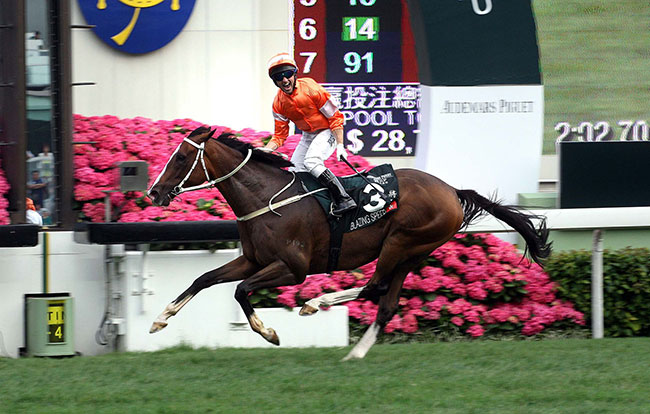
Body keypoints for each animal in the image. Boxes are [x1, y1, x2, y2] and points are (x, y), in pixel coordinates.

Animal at [147, 126, 551, 360]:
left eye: (182, 157)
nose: (154, 192)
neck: (267, 199)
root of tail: (452, 190)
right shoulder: (253, 259)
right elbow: (205, 279)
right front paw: (160, 319)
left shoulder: (291, 269)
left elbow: (240, 290)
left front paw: (269, 332)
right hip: (413, 253)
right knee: (386, 302)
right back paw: (355, 354)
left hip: (401, 242)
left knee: (375, 286)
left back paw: (317, 303)